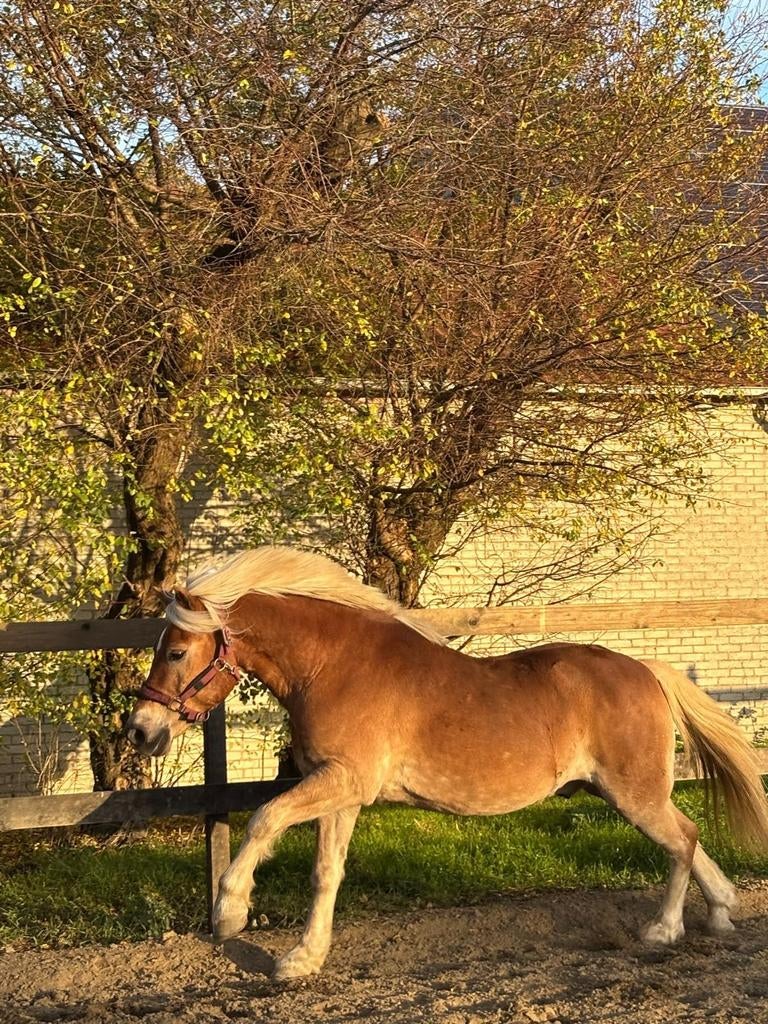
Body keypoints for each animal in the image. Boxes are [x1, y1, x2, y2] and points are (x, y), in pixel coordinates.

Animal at [126, 546, 768, 981]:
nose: (140, 730)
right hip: (630, 794)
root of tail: (645, 671)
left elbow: (263, 819)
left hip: (634, 795)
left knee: (682, 839)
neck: (333, 666)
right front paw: (303, 959)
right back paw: (721, 911)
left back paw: (663, 929)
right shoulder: (341, 791)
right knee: (689, 838)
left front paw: (230, 914)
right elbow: (326, 873)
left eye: (176, 652)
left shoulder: (340, 780)